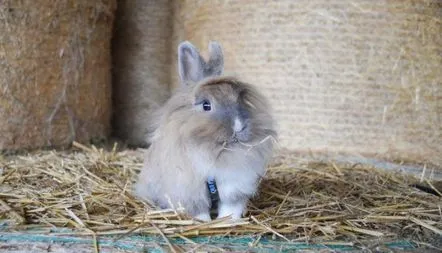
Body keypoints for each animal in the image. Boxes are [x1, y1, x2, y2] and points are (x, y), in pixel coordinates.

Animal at [134, 40, 276, 221]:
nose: (238, 126)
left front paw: (227, 221)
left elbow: (230, 208)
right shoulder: (189, 191)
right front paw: (204, 222)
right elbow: (199, 211)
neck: (215, 152)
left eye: (239, 100)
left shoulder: (234, 187)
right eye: (206, 105)